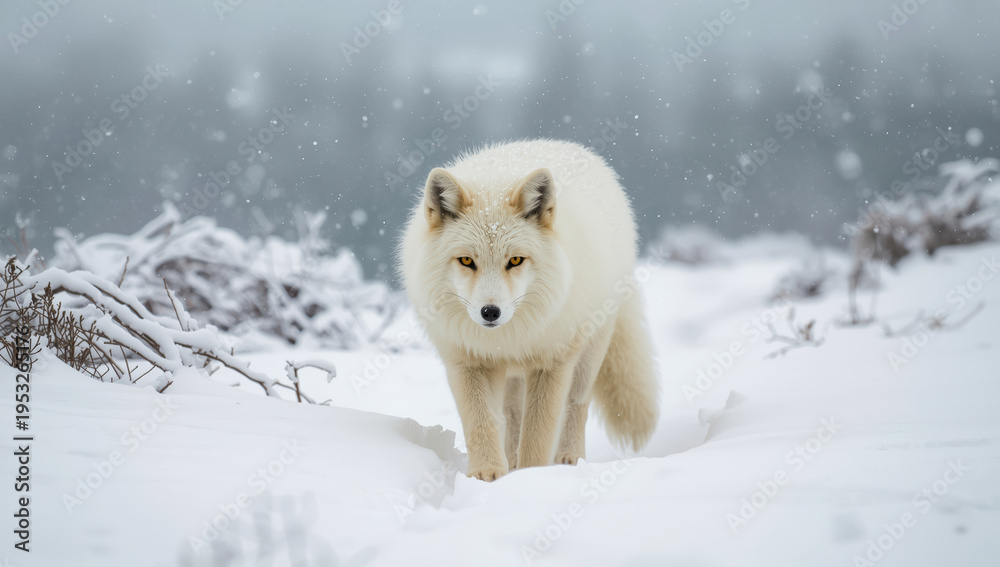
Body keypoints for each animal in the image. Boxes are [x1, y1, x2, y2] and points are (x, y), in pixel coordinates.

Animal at [399, 139, 658, 481]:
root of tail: (569, 145)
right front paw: (486, 475)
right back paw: (510, 462)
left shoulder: (552, 363)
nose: (490, 312)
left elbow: (538, 433)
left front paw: (531, 477)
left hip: (588, 355)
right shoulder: (467, 361)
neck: (506, 338)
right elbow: (481, 423)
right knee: (512, 415)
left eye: (515, 261)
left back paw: (569, 459)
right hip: (512, 376)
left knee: (577, 404)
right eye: (467, 261)